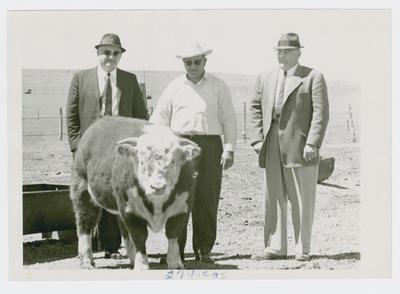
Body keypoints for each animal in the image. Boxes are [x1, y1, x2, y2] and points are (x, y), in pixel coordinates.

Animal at [69, 116, 200, 270]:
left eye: (173, 161)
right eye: (142, 162)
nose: (157, 186)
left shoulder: (183, 207)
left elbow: (173, 234)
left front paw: (175, 263)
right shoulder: (129, 210)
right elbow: (139, 236)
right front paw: (142, 264)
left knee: (124, 231)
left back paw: (131, 259)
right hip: (83, 191)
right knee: (85, 223)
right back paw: (87, 260)